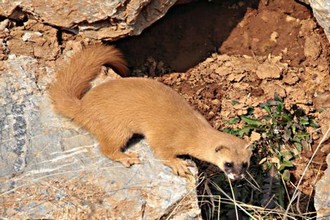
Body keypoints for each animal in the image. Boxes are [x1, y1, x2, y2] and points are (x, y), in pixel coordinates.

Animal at [47, 44, 251, 180]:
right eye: (228, 163)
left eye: (245, 163)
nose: (238, 177)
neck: (193, 130)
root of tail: (83, 105)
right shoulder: (163, 136)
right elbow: (160, 152)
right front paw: (179, 165)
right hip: (117, 128)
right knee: (106, 149)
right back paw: (127, 158)